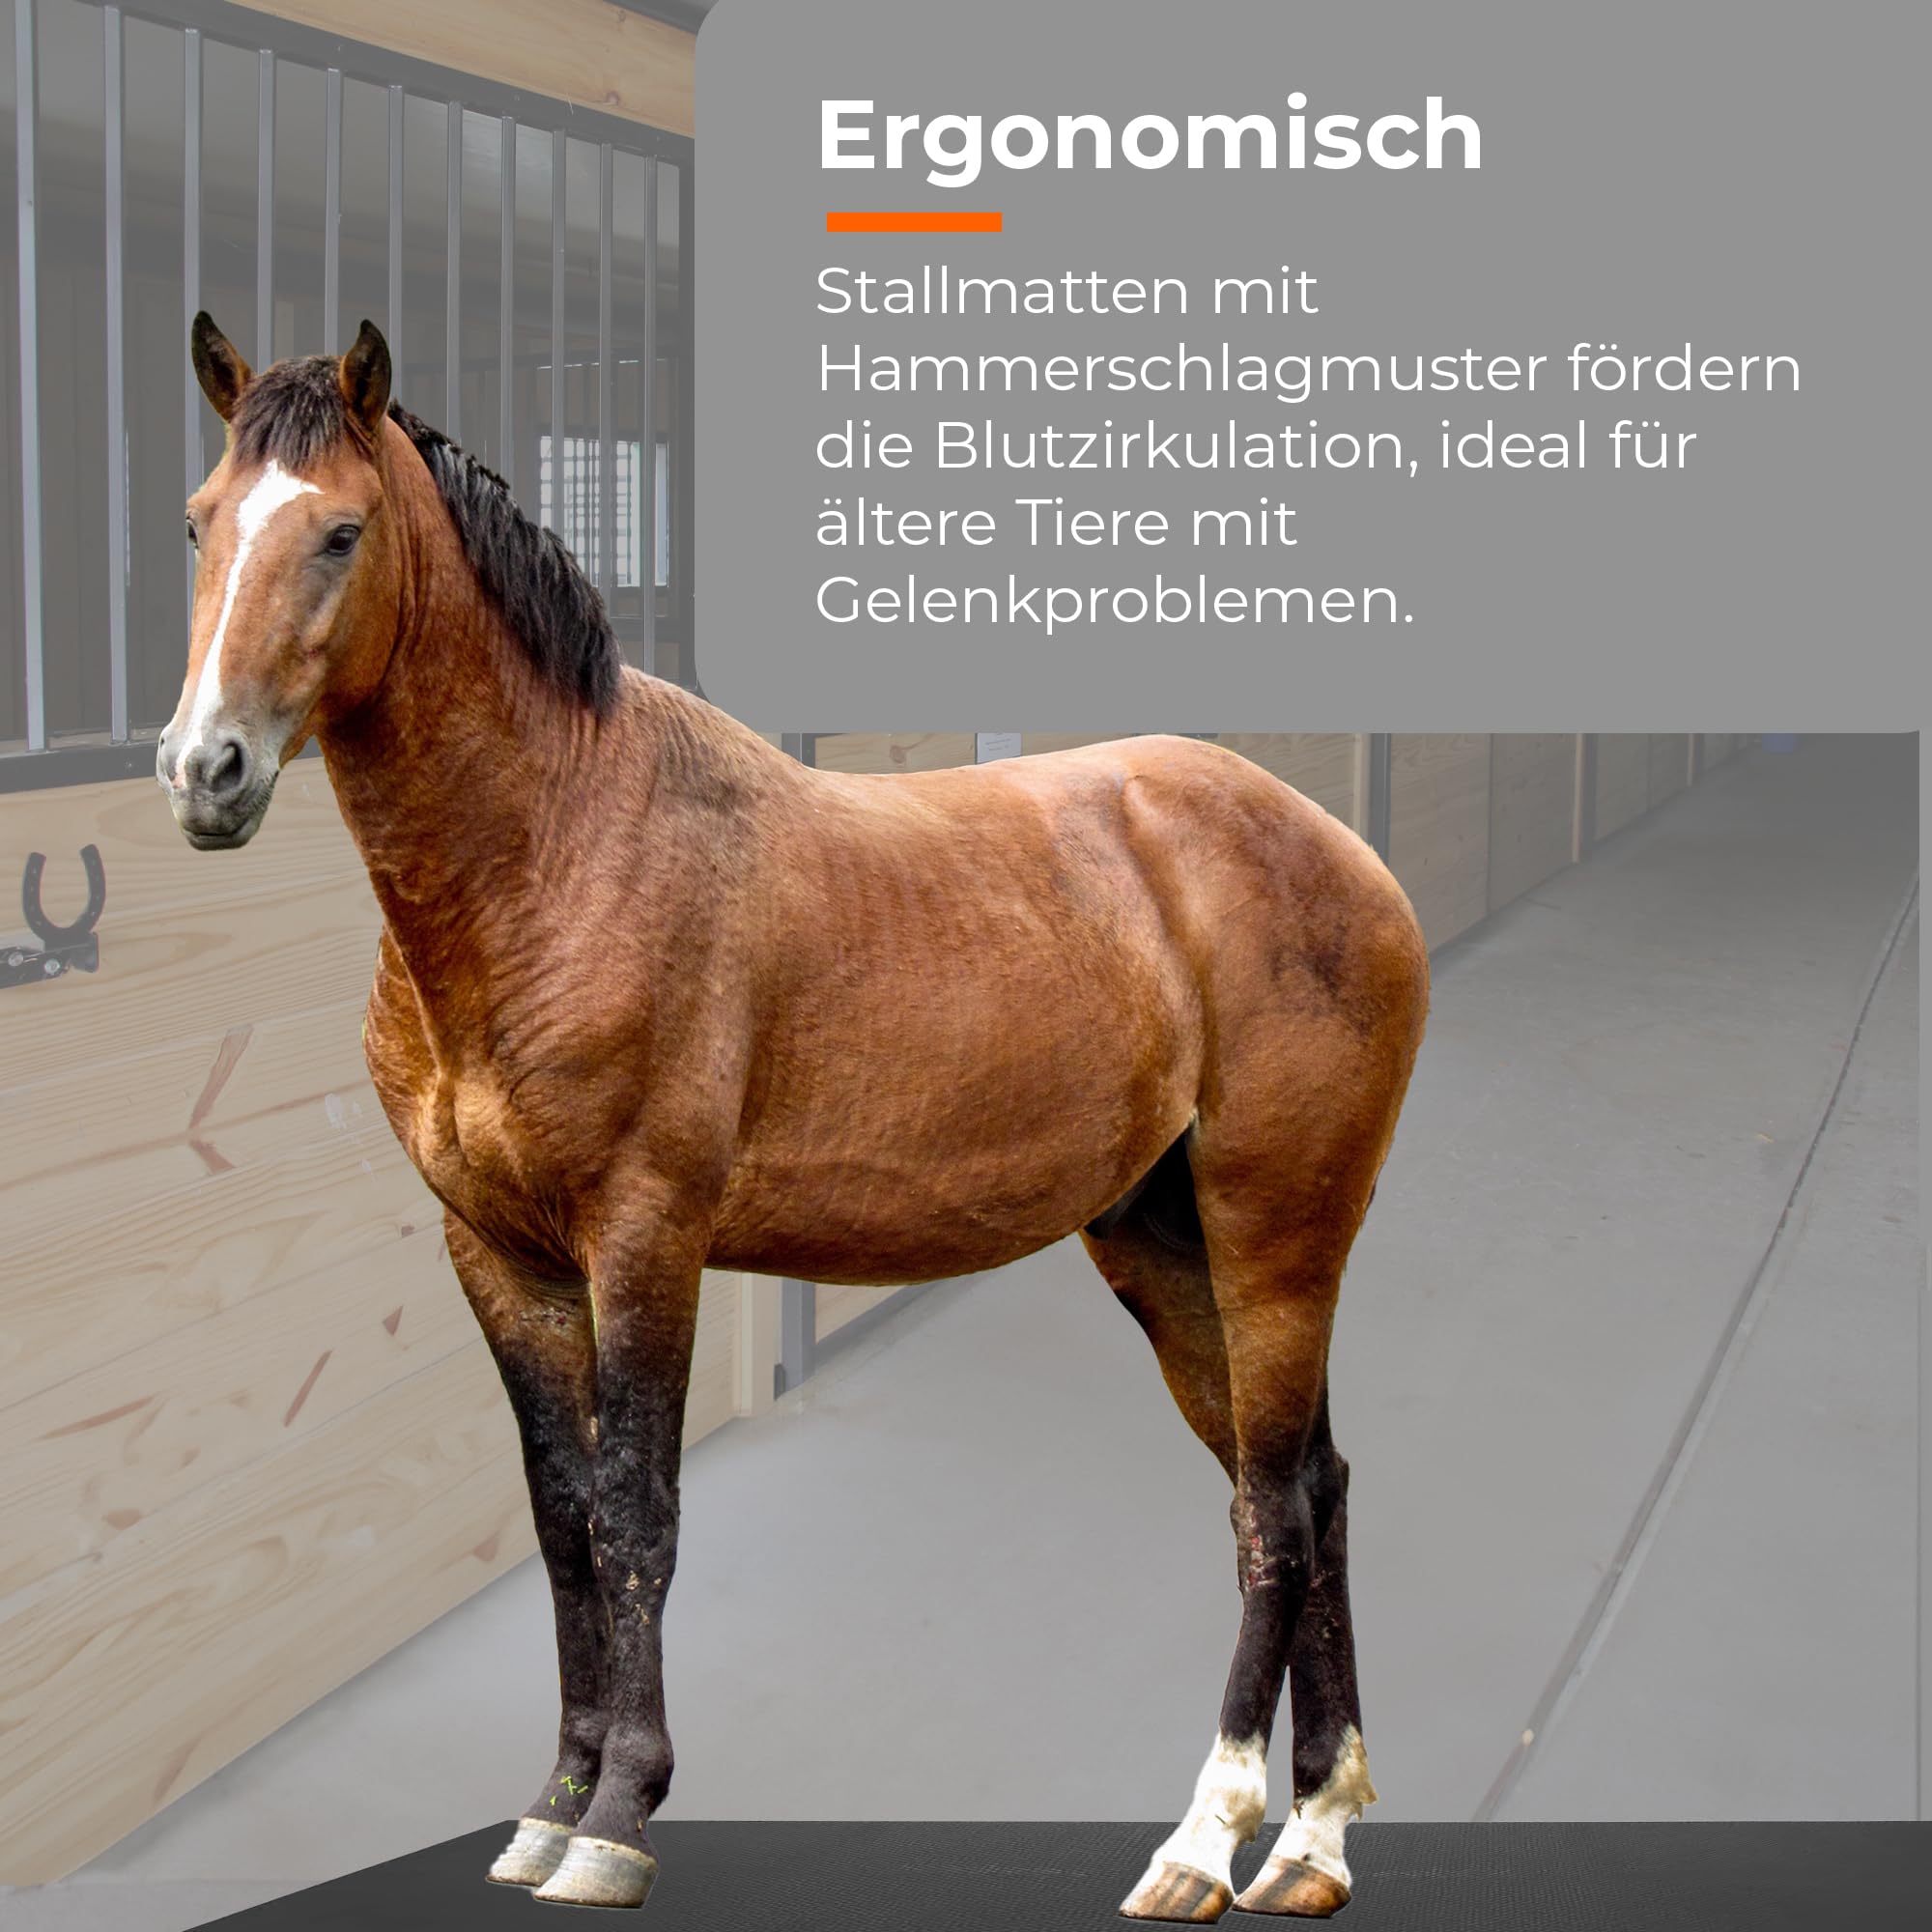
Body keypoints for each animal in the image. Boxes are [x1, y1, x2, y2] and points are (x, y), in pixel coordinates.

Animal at [158, 314, 1429, 1921]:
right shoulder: (496, 1256)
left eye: (341, 530)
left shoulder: (645, 1238)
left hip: (1276, 1239)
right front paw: (547, 1807)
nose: (204, 772)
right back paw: (1315, 1841)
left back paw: (1207, 1841)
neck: (560, 850)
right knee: (1317, 1488)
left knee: (1272, 1511)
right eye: (198, 521)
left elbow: (639, 1512)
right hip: (1163, 1247)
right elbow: (562, 1521)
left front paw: (617, 1821)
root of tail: (1346, 855)